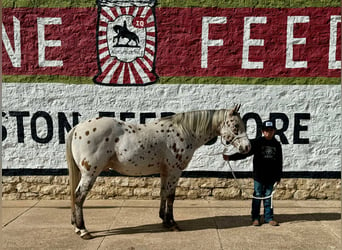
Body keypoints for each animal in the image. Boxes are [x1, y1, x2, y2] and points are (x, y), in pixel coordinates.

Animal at [65, 105, 250, 238]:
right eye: (235, 126)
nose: (247, 147)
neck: (183, 132)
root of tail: (78, 128)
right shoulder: (175, 171)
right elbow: (171, 196)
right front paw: (172, 223)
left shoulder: (165, 171)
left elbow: (163, 193)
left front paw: (164, 220)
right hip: (90, 173)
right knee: (79, 196)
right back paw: (83, 230)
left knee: (75, 196)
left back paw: (76, 227)